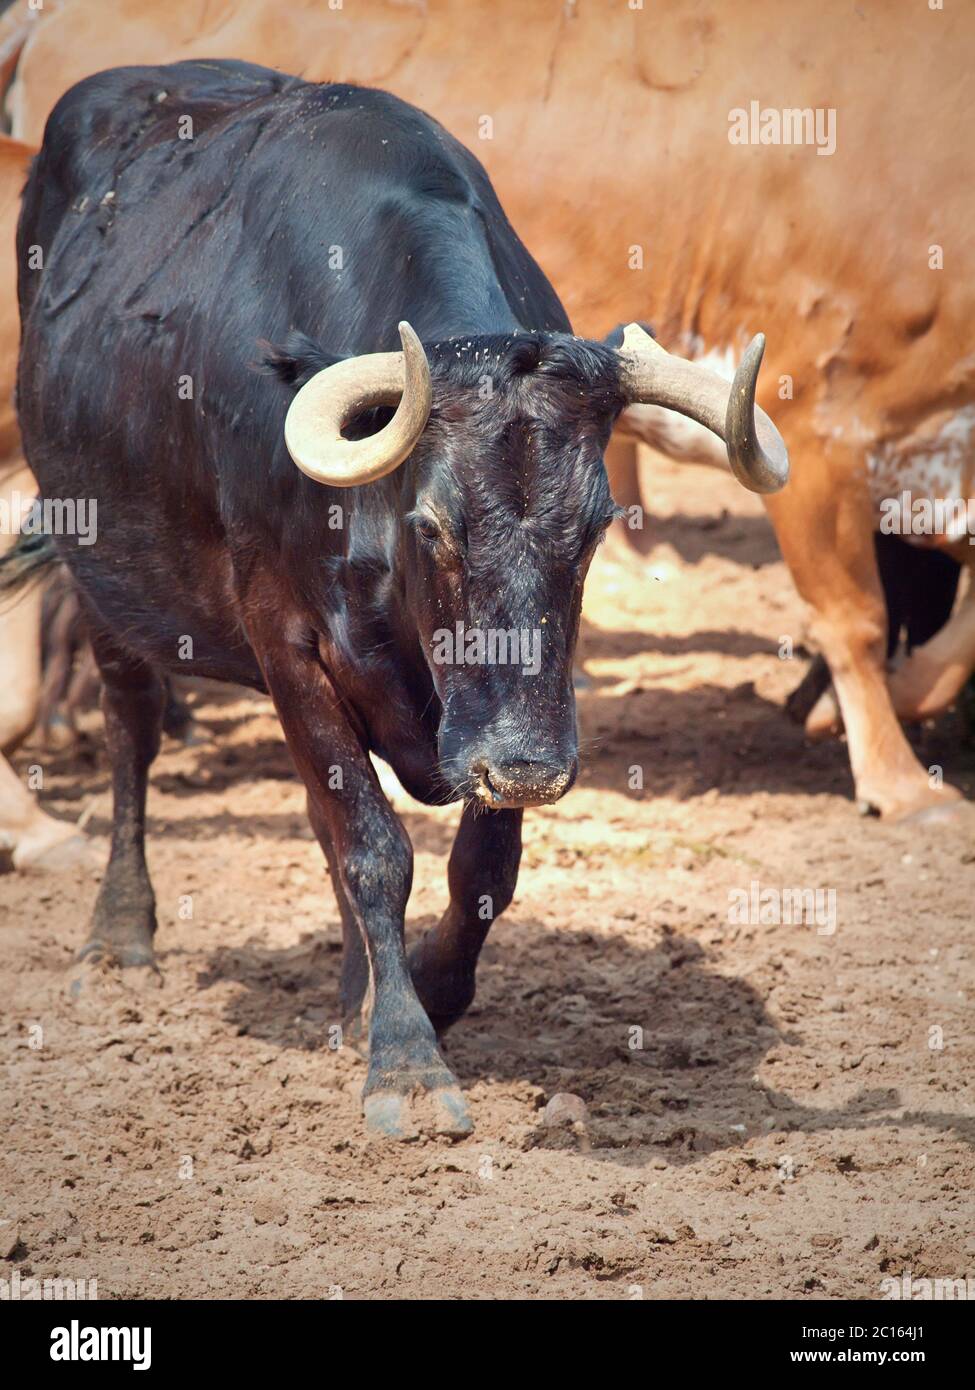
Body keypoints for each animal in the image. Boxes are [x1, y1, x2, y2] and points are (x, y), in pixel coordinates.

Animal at [9, 59, 786, 1136]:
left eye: (594, 527)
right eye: (433, 525)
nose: (531, 764)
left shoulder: (503, 711)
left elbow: (476, 868)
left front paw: (421, 992)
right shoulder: (289, 646)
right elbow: (374, 848)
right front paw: (407, 1061)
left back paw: (351, 996)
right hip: (102, 574)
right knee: (133, 732)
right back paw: (120, 940)